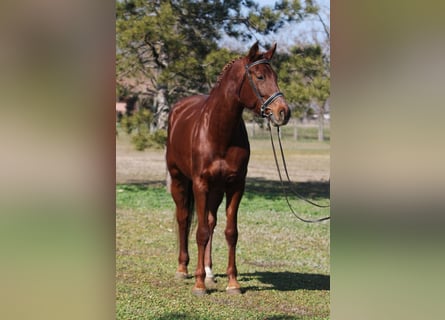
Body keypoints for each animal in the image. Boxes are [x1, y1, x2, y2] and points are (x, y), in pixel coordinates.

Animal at [165, 42, 290, 296]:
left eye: (276, 76)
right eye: (260, 76)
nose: (283, 112)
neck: (218, 130)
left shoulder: (235, 185)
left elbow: (230, 232)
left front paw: (232, 283)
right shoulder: (200, 184)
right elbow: (200, 232)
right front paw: (199, 285)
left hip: (216, 189)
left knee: (211, 221)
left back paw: (210, 273)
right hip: (179, 179)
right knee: (184, 219)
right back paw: (183, 269)